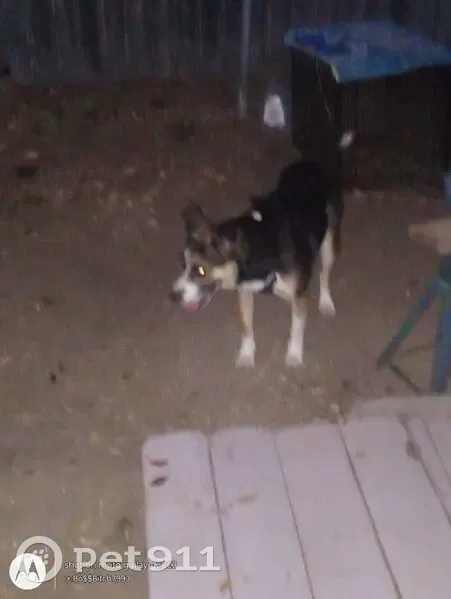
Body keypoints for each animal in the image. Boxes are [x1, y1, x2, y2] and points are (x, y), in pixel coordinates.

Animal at [170, 131, 354, 367]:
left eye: (200, 270)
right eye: (183, 264)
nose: (173, 296)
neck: (258, 249)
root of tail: (317, 163)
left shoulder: (299, 297)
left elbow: (296, 329)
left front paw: (294, 355)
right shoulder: (245, 291)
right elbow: (246, 327)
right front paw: (246, 355)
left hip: (330, 242)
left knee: (324, 273)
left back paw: (326, 302)